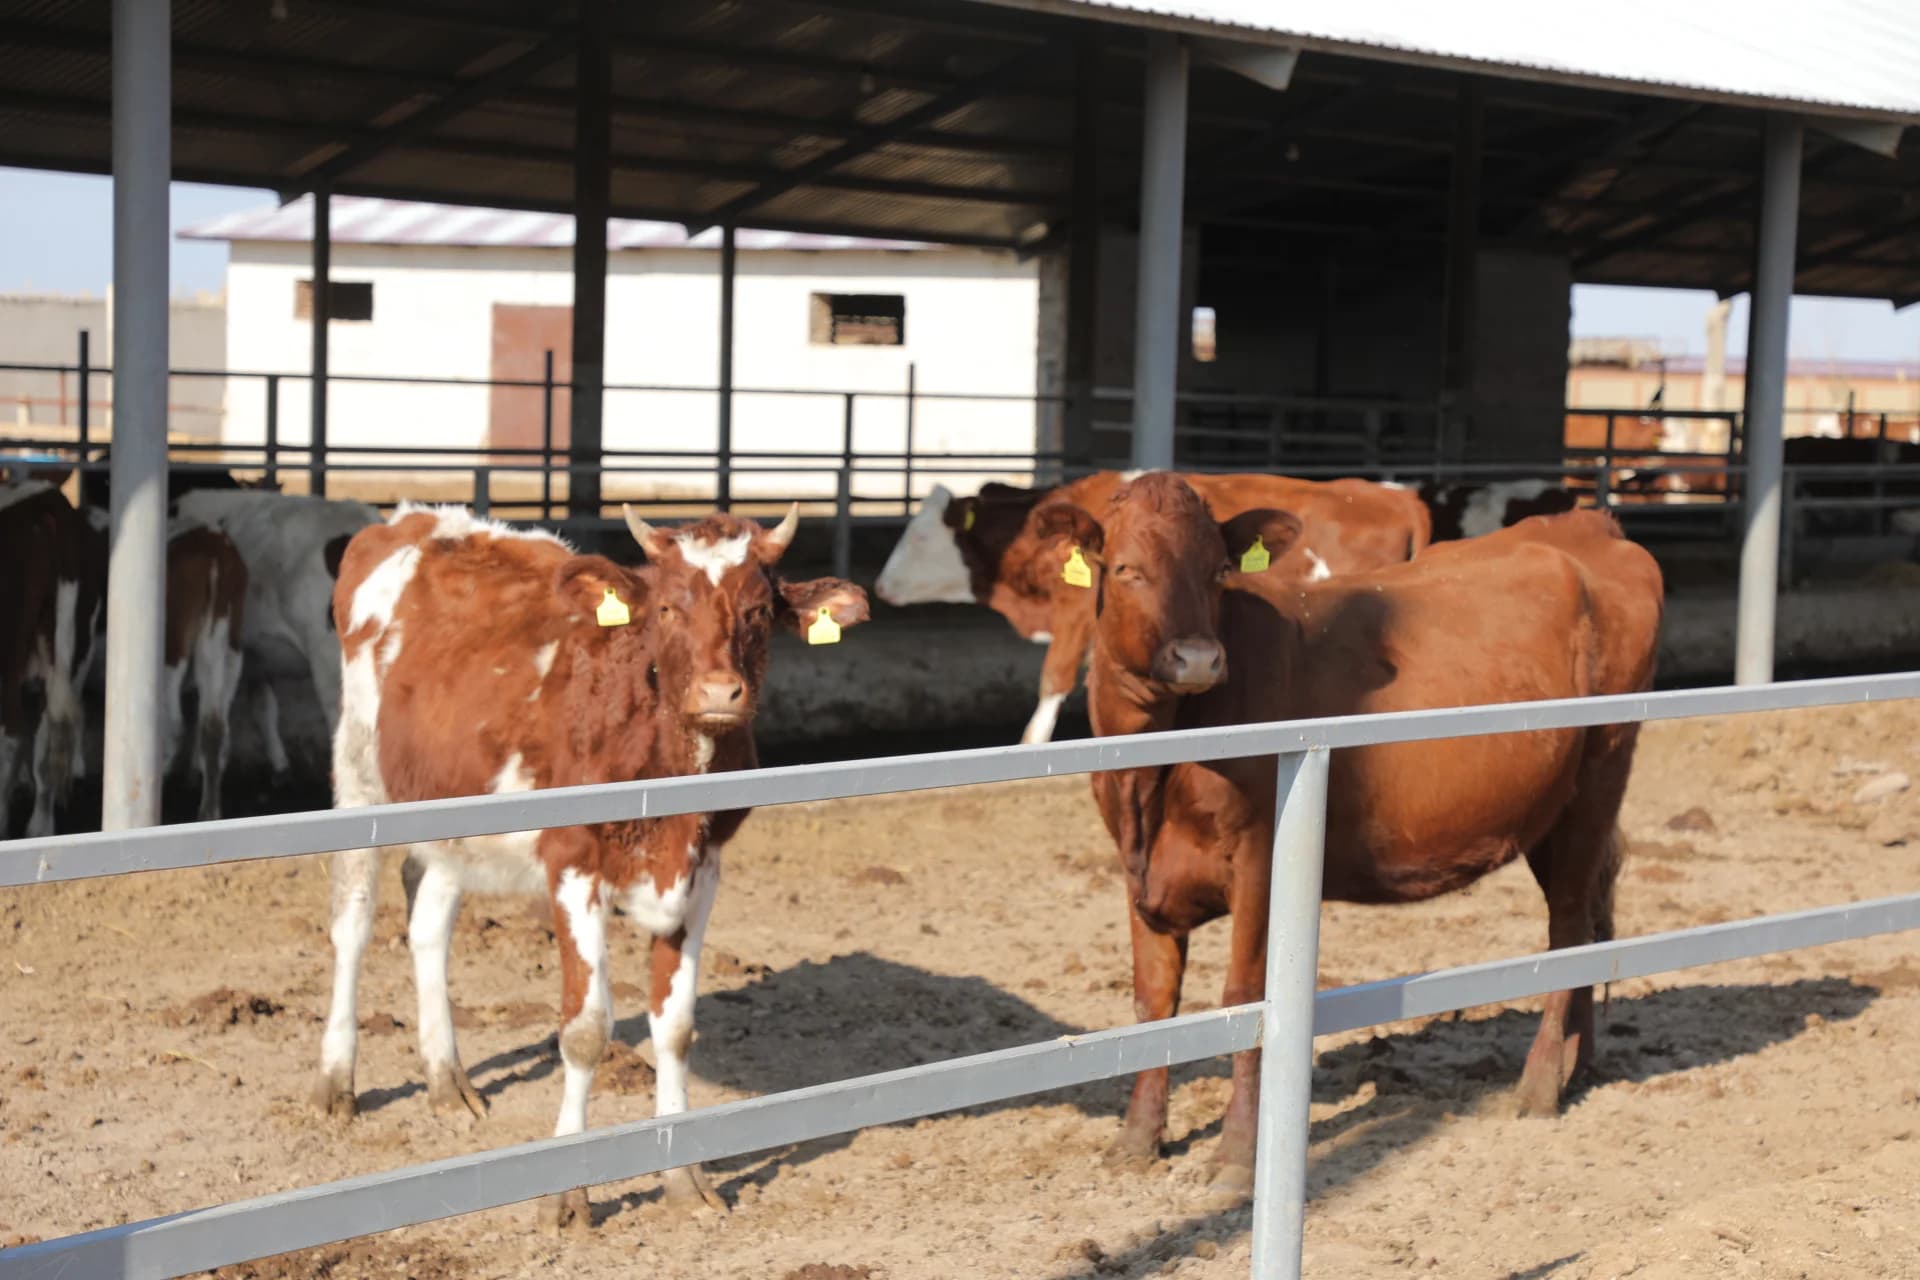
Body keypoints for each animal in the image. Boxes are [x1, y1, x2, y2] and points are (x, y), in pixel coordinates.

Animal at [311, 501, 869, 1230]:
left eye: (756, 610)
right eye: (667, 607)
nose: (721, 691)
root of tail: (415, 519)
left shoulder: (701, 872)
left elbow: (676, 1028)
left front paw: (682, 1178)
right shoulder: (573, 865)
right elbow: (584, 1030)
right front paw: (568, 1194)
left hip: (448, 808)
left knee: (428, 921)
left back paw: (446, 1079)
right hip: (359, 772)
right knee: (352, 921)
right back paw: (335, 1081)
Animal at [1027, 472, 1661, 1193]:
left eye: (1218, 571)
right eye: (1126, 569)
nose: (1198, 658)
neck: (1152, 774)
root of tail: (1587, 526)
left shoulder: (1261, 858)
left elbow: (1247, 996)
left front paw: (1237, 1156)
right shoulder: (1140, 870)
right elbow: (1153, 1000)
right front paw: (1137, 1138)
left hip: (1601, 773)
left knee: (1568, 926)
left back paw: (1540, 1086)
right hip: (1550, 811)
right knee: (1585, 924)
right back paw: (1578, 1067)